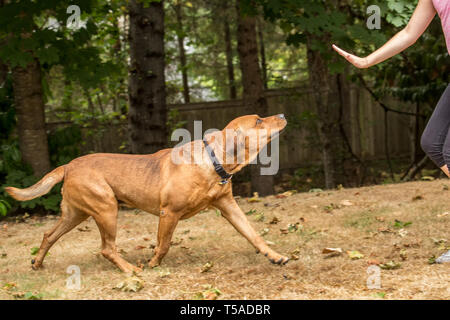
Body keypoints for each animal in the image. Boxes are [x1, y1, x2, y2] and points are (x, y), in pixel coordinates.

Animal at [6, 114, 288, 272]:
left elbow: (255, 236)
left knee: (48, 236)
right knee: (107, 248)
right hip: (106, 209)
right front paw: (153, 265)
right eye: (259, 121)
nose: (283, 114)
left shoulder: (229, 207)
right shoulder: (169, 213)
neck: (212, 160)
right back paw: (132, 271)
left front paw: (275, 257)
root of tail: (68, 165)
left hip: (76, 215)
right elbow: (163, 245)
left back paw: (37, 263)